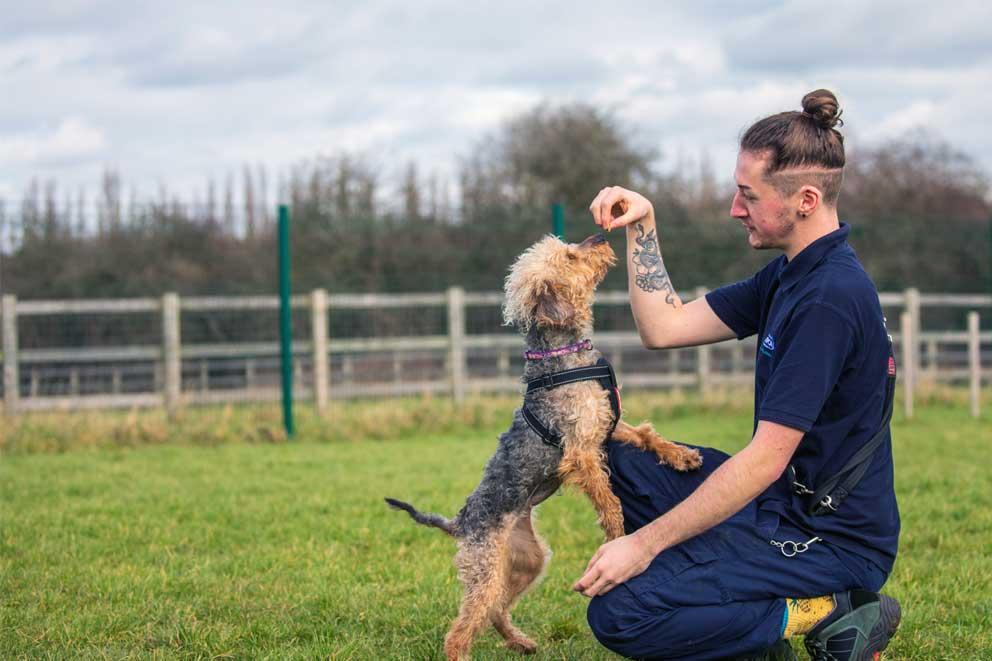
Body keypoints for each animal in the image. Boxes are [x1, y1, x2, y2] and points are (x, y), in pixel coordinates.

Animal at [384, 231, 700, 656]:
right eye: (569, 257)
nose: (600, 234)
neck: (563, 356)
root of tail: (459, 523)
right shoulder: (581, 452)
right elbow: (607, 498)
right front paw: (618, 536)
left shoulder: (605, 423)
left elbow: (646, 435)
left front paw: (681, 457)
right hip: (484, 570)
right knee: (464, 625)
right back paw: (465, 651)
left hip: (529, 559)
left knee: (497, 610)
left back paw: (521, 642)